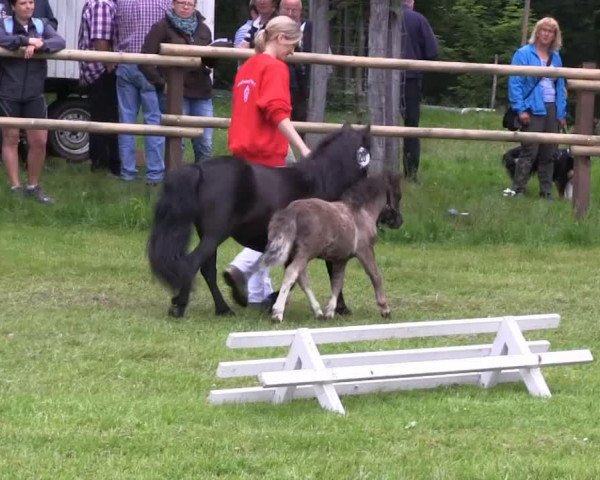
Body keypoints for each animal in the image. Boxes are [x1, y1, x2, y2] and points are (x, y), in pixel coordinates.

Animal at [148, 125, 370, 316]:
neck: (321, 181)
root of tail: (199, 169)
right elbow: (328, 273)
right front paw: (339, 308)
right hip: (214, 235)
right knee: (193, 264)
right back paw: (181, 307)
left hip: (208, 235)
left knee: (207, 269)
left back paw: (224, 307)